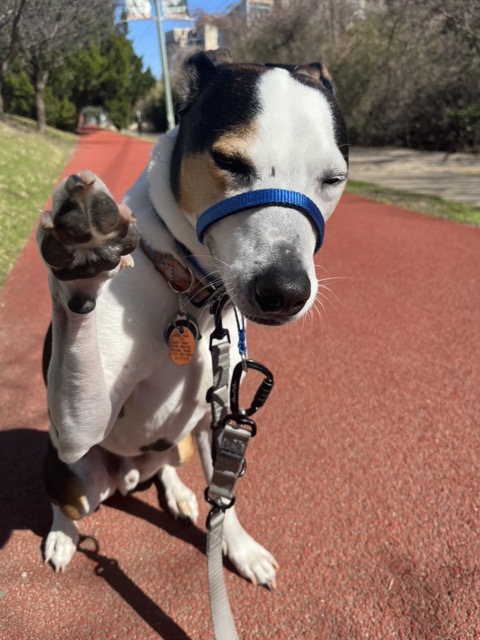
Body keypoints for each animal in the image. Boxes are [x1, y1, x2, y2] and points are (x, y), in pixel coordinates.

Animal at [35, 50, 346, 592]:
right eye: (229, 162)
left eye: (334, 179)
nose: (285, 291)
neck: (192, 293)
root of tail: (126, 476)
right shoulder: (78, 423)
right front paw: (85, 255)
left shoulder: (224, 417)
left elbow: (225, 497)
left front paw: (238, 549)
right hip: (76, 472)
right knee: (64, 500)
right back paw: (62, 535)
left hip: (182, 442)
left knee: (169, 466)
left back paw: (176, 492)